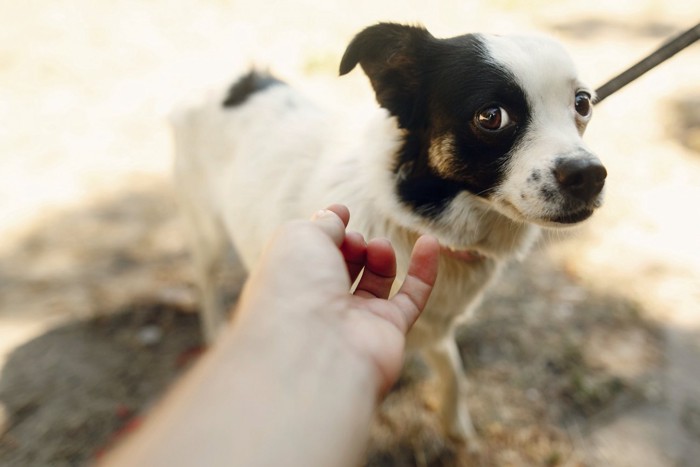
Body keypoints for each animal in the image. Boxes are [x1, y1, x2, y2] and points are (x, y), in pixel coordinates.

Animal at [172, 23, 604, 448]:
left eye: (583, 103)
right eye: (491, 116)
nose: (590, 175)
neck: (417, 222)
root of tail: (231, 82)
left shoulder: (432, 327)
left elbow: (453, 369)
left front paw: (455, 425)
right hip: (206, 230)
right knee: (205, 280)